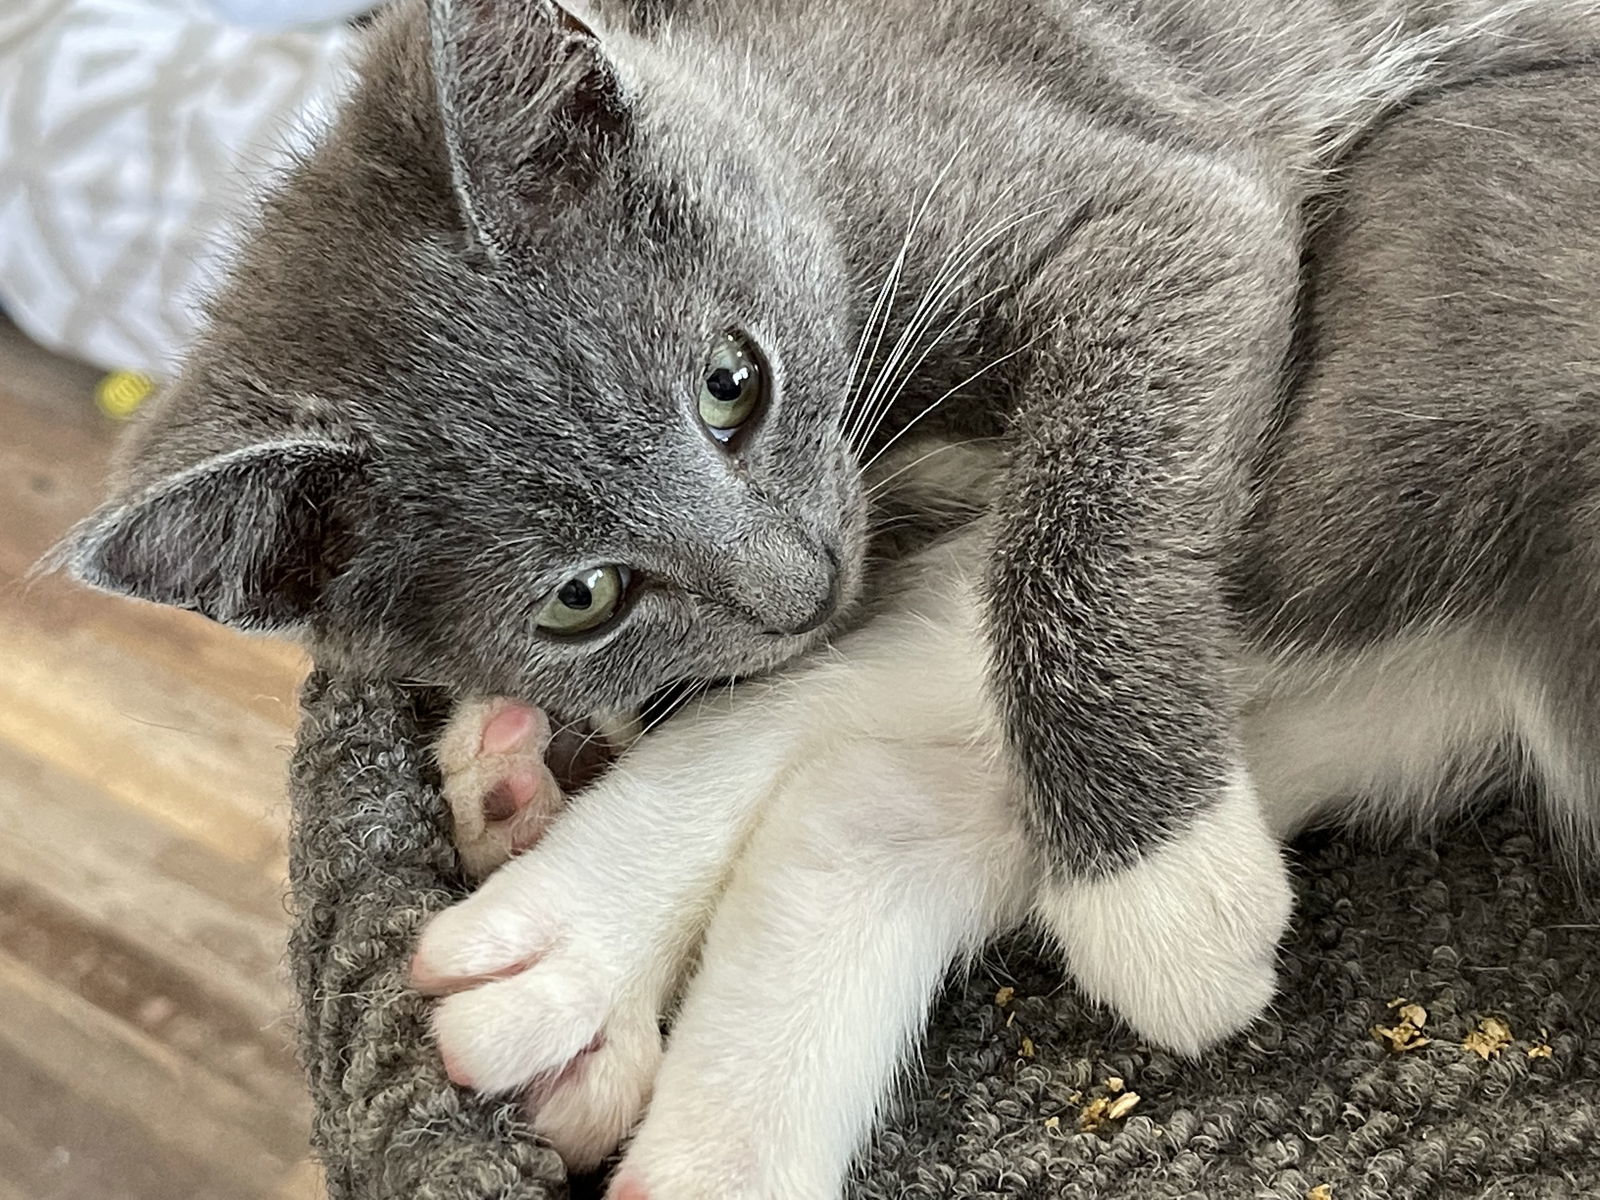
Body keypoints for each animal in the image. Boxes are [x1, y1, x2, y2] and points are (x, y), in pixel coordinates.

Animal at [46, 0, 1600, 1184]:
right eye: (582, 598)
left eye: (732, 382)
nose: (793, 582)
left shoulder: (1158, 206)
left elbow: (1080, 502)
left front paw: (1159, 892)